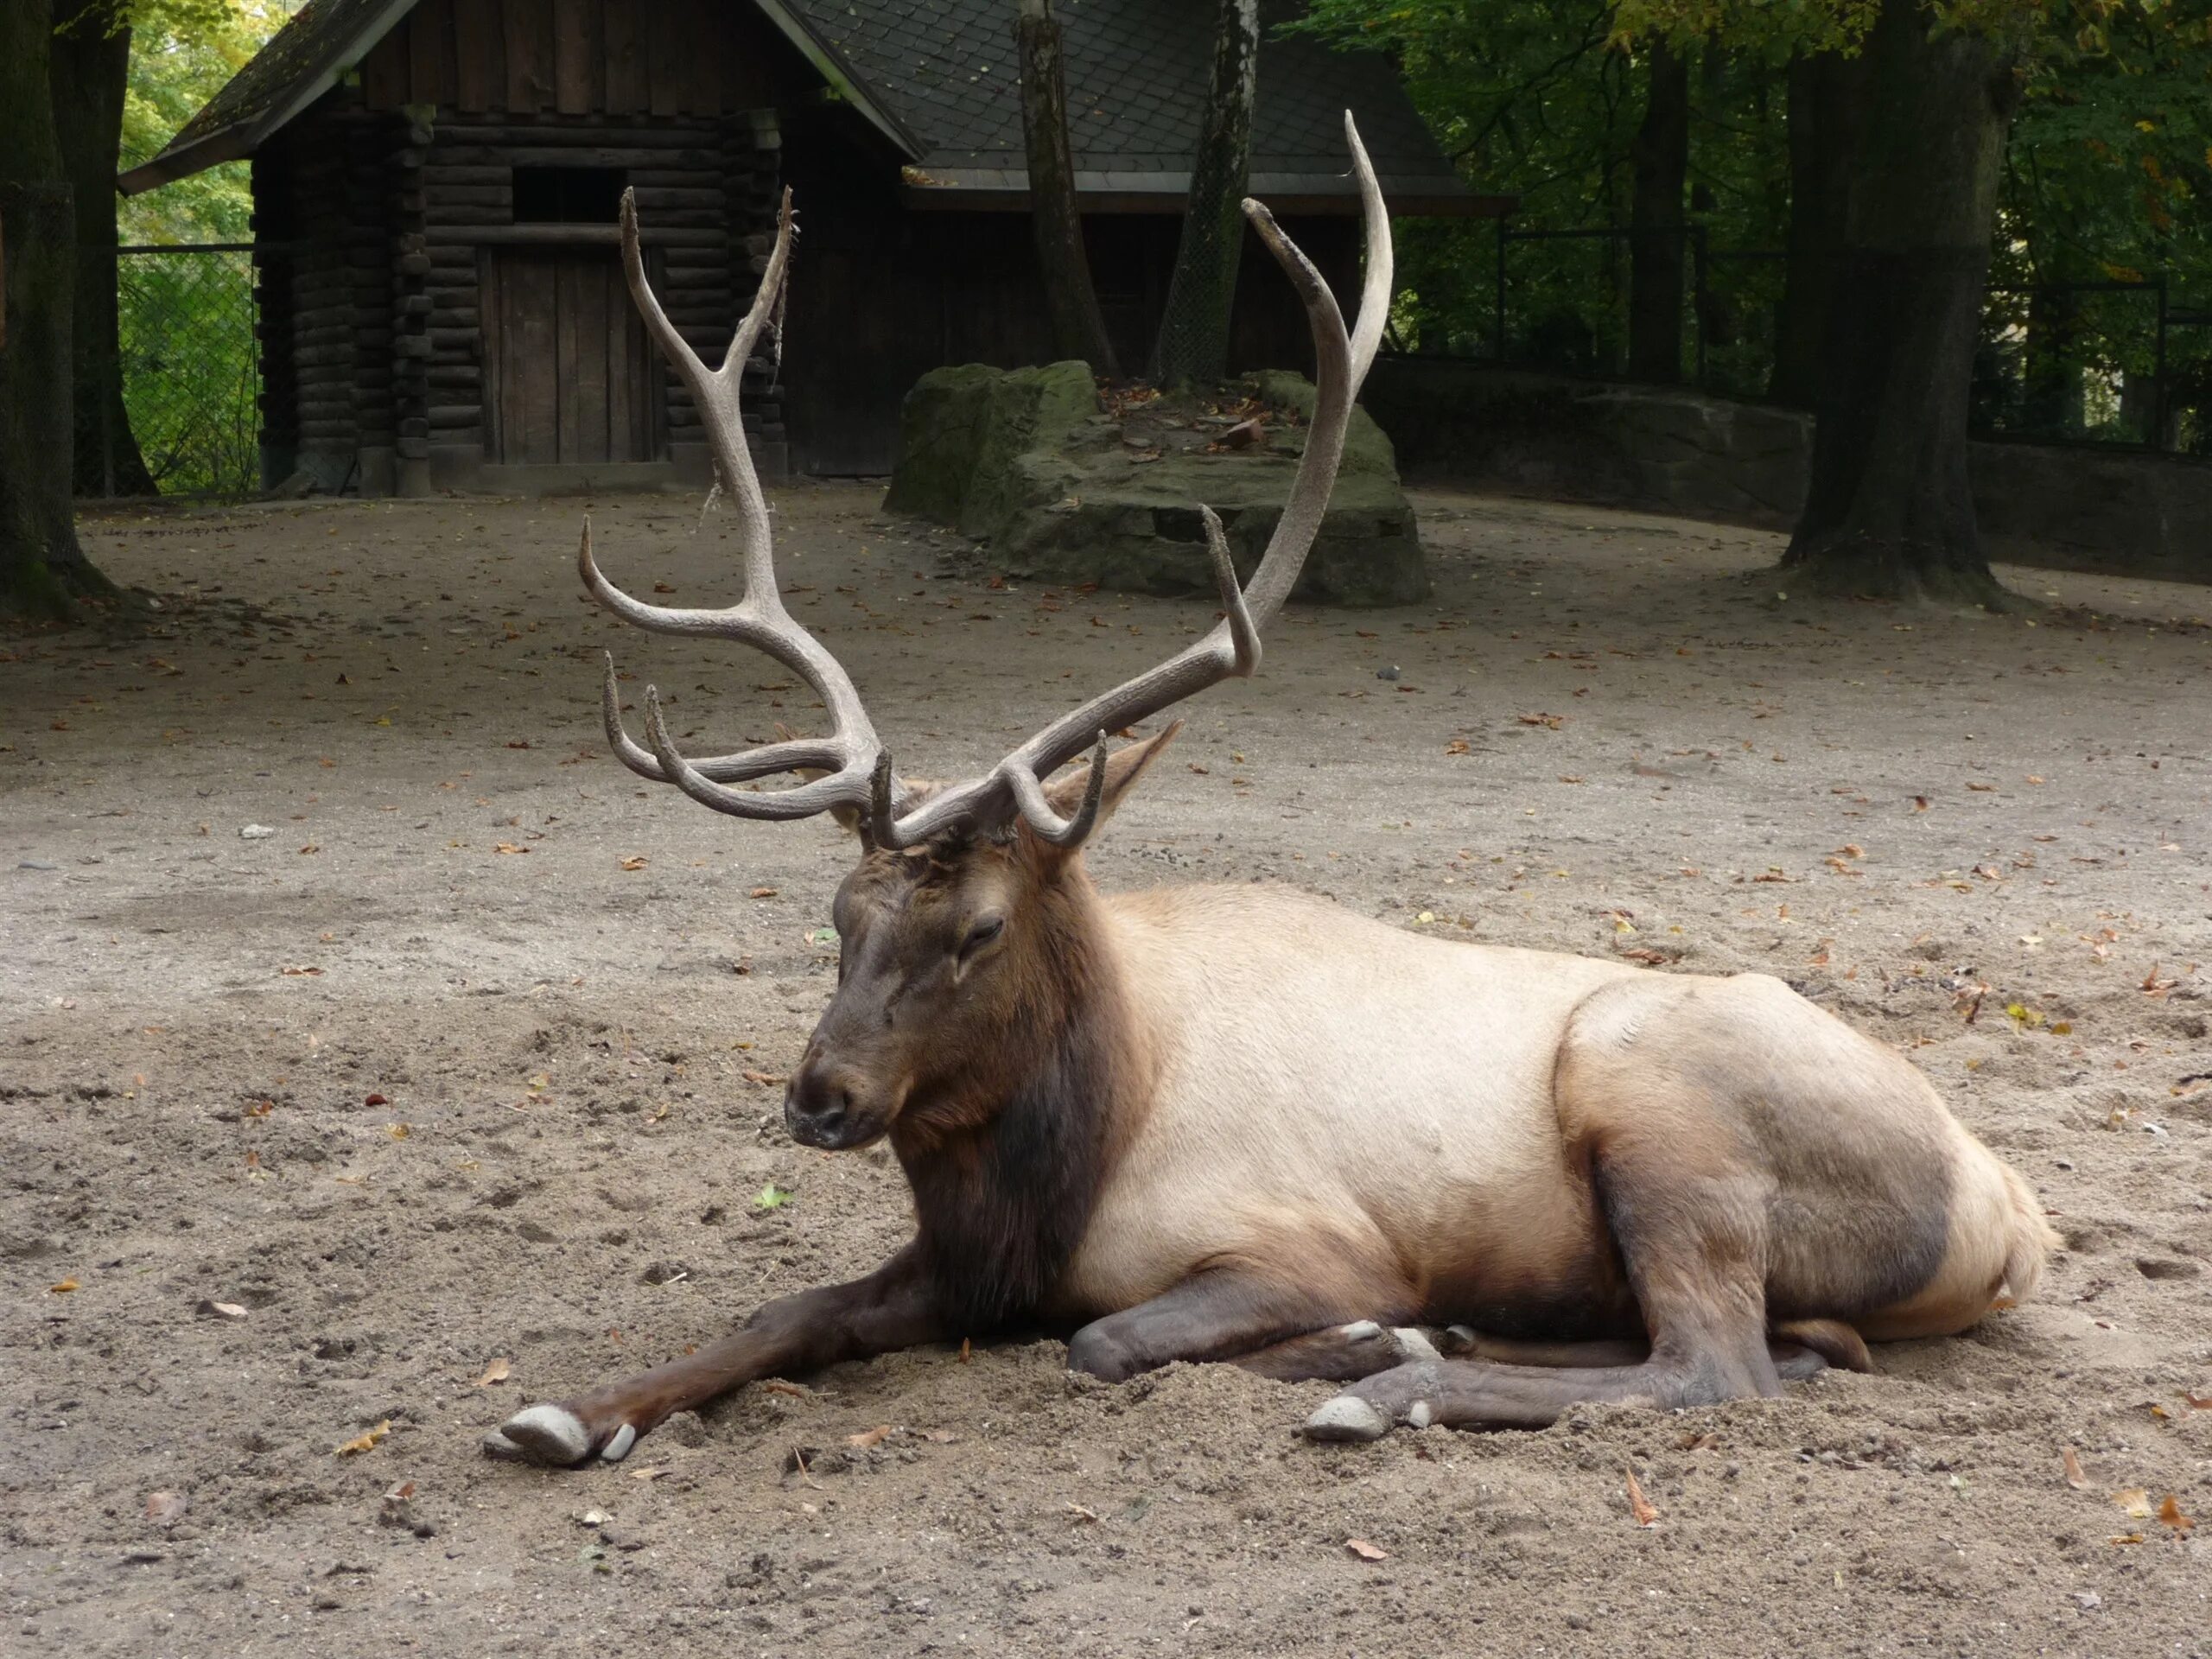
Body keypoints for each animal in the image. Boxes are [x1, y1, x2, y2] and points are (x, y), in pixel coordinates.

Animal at [484, 117, 2052, 1468]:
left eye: (980, 927)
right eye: (835, 911)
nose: (821, 1097)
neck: (1067, 1158)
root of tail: (2015, 1213)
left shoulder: (1306, 1237)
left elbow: (1107, 1341)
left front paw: (1367, 1344)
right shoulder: (962, 1266)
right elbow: (789, 1309)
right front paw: (567, 1412)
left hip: (1656, 1097)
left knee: (1716, 1363)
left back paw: (1392, 1384)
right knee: (1780, 1344)